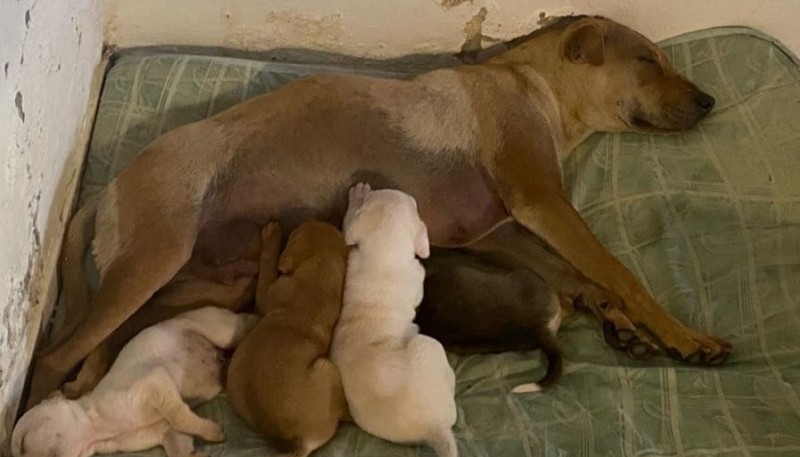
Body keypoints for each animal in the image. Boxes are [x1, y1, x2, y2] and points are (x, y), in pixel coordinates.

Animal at [11, 306, 256, 456]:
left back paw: (255, 319)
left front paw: (214, 432)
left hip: (218, 329)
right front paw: (197, 449)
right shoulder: (166, 432)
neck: (94, 429)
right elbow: (178, 442)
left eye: (22, 444)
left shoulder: (153, 382)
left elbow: (179, 416)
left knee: (241, 323)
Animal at [227, 221, 348, 456]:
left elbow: (266, 271)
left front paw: (272, 235)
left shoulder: (266, 296)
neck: (317, 278)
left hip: (327, 369)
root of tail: (297, 441)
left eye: (293, 234)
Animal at [330, 183, 456, 456]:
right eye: (415, 204)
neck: (384, 255)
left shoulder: (351, 252)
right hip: (428, 345)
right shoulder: (418, 279)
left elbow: (347, 229)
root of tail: (435, 427)